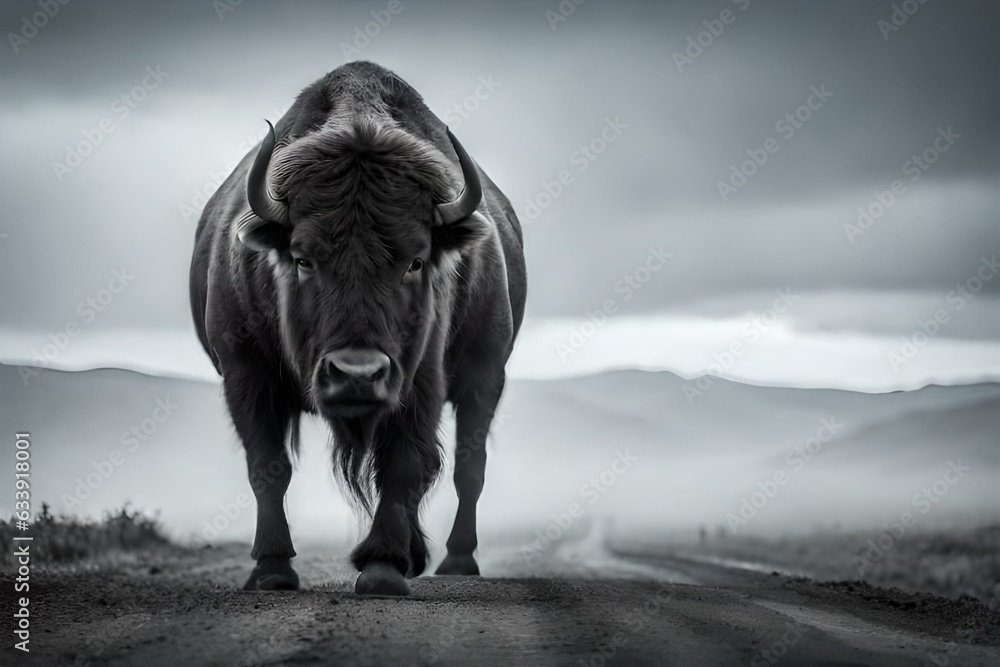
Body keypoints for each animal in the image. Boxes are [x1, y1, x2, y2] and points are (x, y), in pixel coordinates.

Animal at [189, 61, 526, 595]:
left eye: (415, 261)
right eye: (303, 258)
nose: (356, 374)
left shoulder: (421, 382)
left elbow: (405, 464)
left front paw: (383, 567)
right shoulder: (246, 374)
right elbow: (267, 467)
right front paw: (272, 569)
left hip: (484, 376)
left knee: (467, 470)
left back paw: (457, 562)